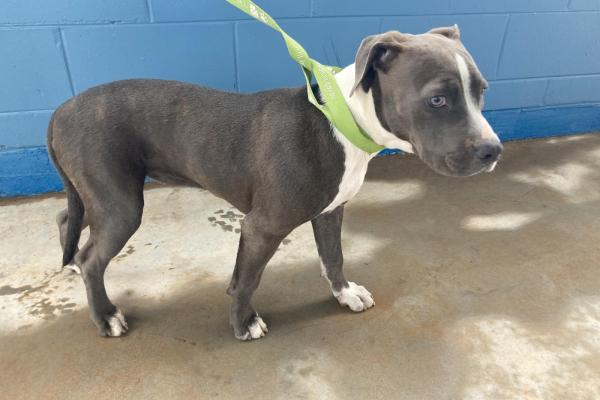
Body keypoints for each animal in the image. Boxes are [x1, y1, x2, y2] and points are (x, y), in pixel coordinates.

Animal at [48, 25, 502, 340]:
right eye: (437, 99)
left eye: (482, 91)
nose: (492, 150)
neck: (341, 122)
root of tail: (59, 110)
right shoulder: (262, 227)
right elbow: (246, 281)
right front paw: (243, 324)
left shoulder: (331, 211)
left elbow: (334, 257)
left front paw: (344, 294)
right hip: (122, 205)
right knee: (94, 257)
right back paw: (105, 316)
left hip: (99, 196)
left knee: (67, 220)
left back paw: (72, 263)